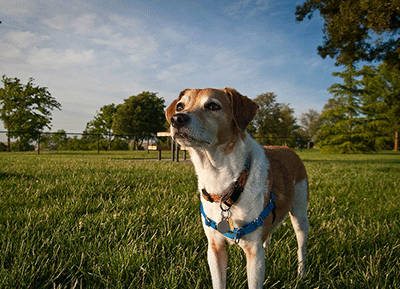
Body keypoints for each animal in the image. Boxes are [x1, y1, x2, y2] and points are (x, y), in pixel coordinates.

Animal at [166, 88, 310, 288]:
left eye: (213, 106)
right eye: (180, 106)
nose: (177, 119)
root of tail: (287, 148)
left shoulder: (254, 252)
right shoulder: (215, 247)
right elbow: (219, 282)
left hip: (300, 215)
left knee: (301, 246)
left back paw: (301, 274)